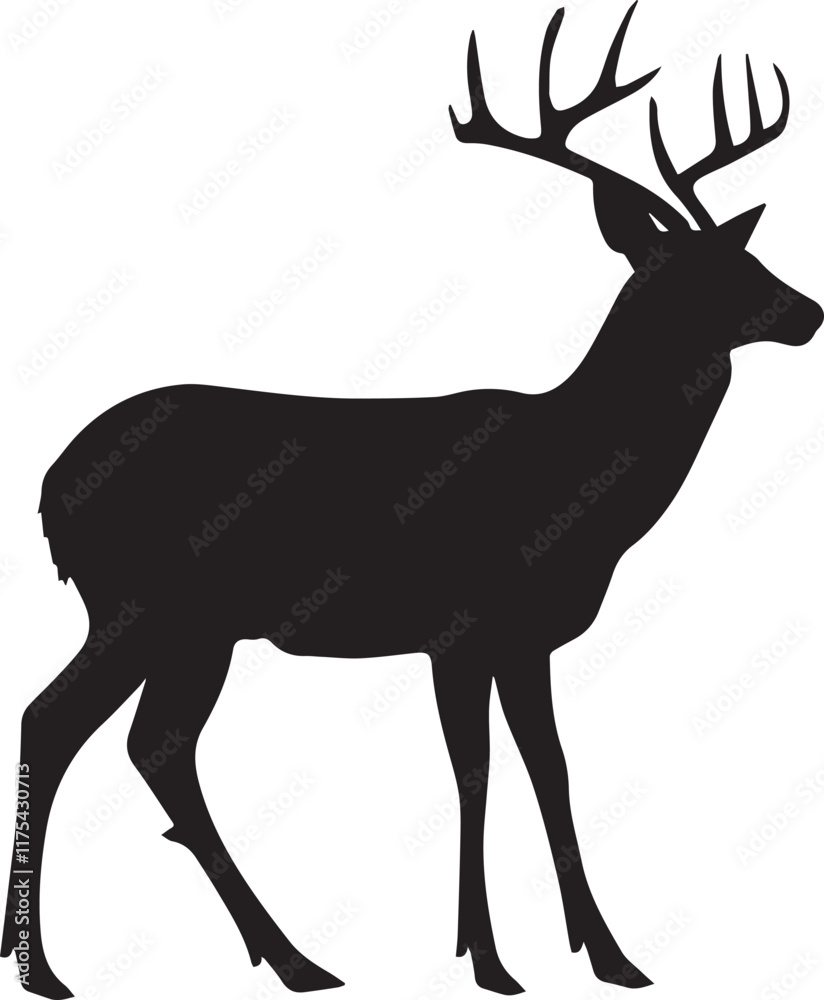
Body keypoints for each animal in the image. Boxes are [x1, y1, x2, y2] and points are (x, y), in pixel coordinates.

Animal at [3, 4, 821, 997]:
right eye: (692, 272)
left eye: (748, 255)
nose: (809, 312)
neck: (579, 483)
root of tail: (49, 486)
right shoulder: (461, 624)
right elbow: (475, 772)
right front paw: (490, 959)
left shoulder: (525, 636)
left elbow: (551, 770)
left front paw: (610, 954)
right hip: (149, 602)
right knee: (67, 723)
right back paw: (68, 965)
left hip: (190, 622)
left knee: (139, 740)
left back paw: (261, 956)